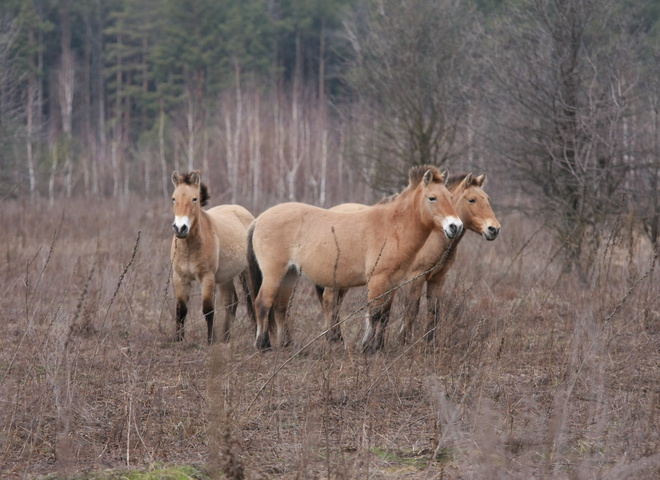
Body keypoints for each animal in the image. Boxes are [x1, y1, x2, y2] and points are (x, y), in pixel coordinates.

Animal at [170, 171, 255, 344]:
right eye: (174, 198)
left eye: (194, 199)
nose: (180, 228)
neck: (189, 247)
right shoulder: (180, 278)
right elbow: (181, 310)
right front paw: (178, 340)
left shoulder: (207, 277)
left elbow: (208, 309)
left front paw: (209, 341)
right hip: (226, 278)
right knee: (232, 303)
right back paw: (225, 338)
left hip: (247, 272)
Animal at [248, 165, 464, 352]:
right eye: (432, 198)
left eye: (451, 197)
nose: (455, 226)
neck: (392, 227)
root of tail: (259, 219)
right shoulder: (377, 279)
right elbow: (374, 313)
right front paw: (367, 347)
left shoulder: (392, 281)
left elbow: (384, 314)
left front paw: (378, 347)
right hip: (274, 273)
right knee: (263, 303)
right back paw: (262, 345)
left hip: (290, 275)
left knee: (280, 306)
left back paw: (286, 344)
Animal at [316, 172, 500, 344]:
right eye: (472, 200)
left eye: (487, 199)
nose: (494, 229)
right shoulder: (415, 278)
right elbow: (411, 309)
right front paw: (402, 341)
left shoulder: (437, 279)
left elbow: (432, 312)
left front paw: (428, 344)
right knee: (329, 303)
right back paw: (334, 340)